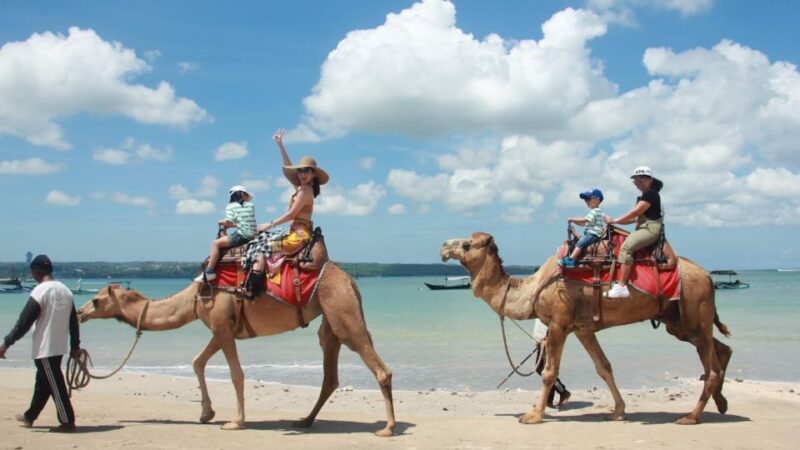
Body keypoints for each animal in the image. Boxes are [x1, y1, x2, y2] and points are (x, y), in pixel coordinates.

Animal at [76, 262, 395, 436]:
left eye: (96, 300)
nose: (79, 313)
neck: (192, 300)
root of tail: (351, 280)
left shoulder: (222, 327)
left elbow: (237, 374)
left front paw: (235, 421)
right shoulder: (221, 330)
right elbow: (197, 361)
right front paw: (206, 413)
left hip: (343, 310)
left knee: (379, 367)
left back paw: (388, 428)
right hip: (330, 320)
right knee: (330, 373)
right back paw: (304, 420)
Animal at [440, 232, 732, 425]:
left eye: (466, 244)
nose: (442, 246)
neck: (533, 288)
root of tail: (708, 277)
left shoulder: (558, 323)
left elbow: (549, 372)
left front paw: (533, 415)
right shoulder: (582, 329)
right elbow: (604, 367)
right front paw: (618, 411)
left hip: (693, 310)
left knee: (712, 367)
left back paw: (692, 416)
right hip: (679, 321)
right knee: (721, 349)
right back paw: (721, 402)